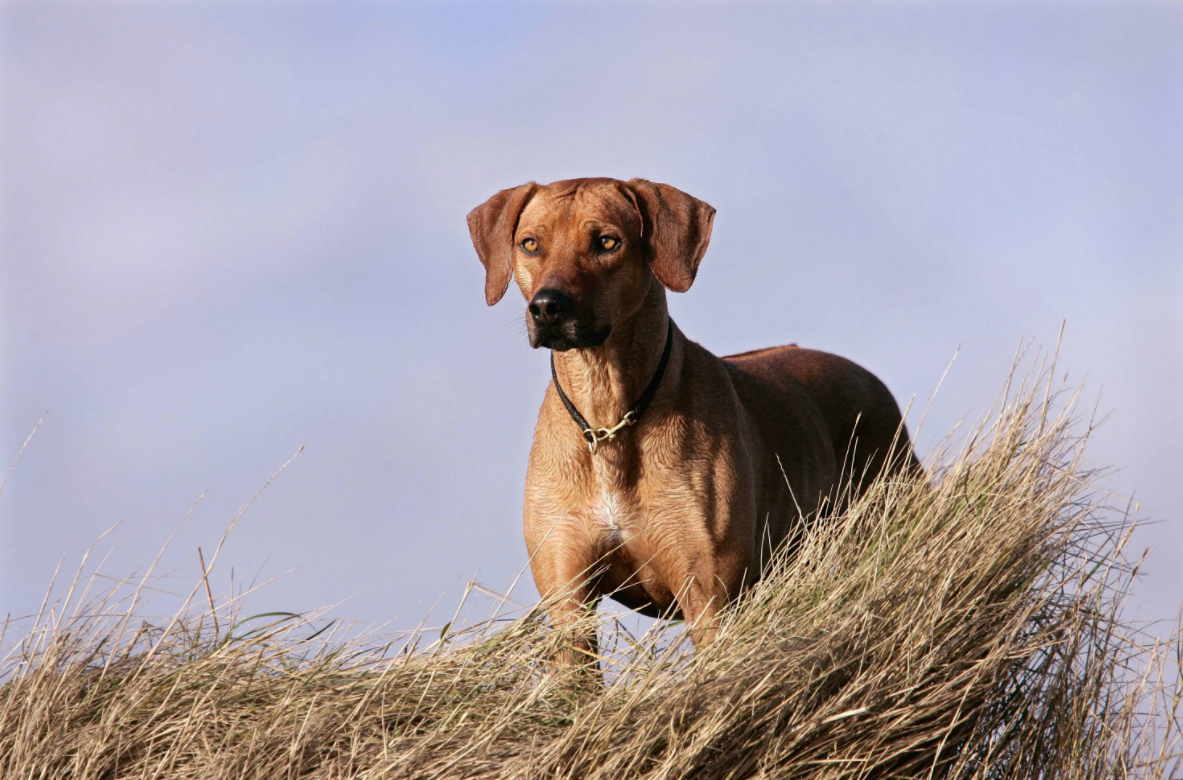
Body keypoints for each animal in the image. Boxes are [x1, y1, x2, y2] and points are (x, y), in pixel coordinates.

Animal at [466, 177, 918, 672]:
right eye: (530, 244)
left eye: (607, 242)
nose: (548, 307)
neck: (610, 416)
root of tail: (868, 377)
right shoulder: (568, 602)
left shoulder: (709, 597)